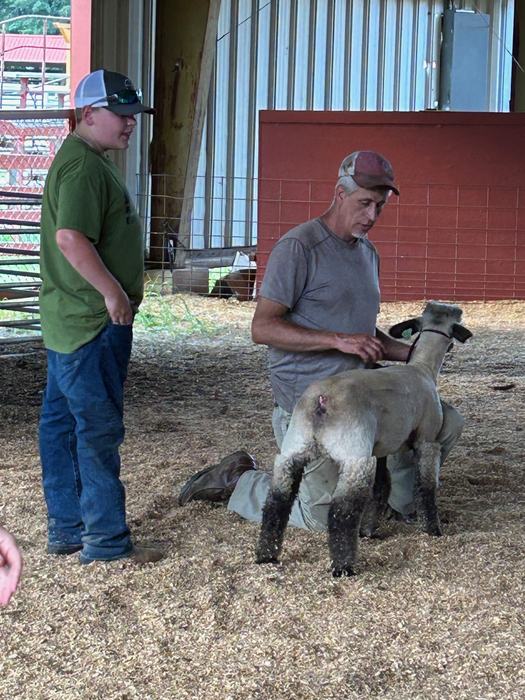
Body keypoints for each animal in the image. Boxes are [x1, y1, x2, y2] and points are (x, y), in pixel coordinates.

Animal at [255, 301, 473, 577]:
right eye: (456, 315)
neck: (422, 367)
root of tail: (322, 401)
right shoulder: (427, 440)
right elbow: (426, 486)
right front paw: (433, 529)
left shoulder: (380, 449)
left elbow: (381, 488)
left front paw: (370, 531)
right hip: (355, 455)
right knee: (341, 512)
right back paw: (344, 567)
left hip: (293, 449)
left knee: (277, 501)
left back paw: (267, 555)